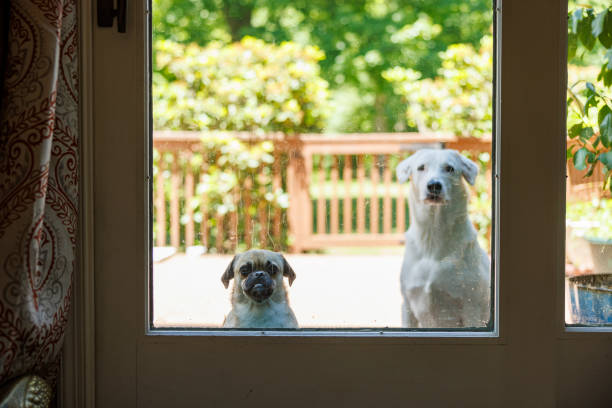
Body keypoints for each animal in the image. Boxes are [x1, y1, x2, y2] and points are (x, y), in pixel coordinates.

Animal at [396, 150, 492, 328]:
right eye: (421, 167)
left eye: (449, 168)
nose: (434, 185)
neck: (434, 237)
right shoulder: (407, 306)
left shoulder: (472, 309)